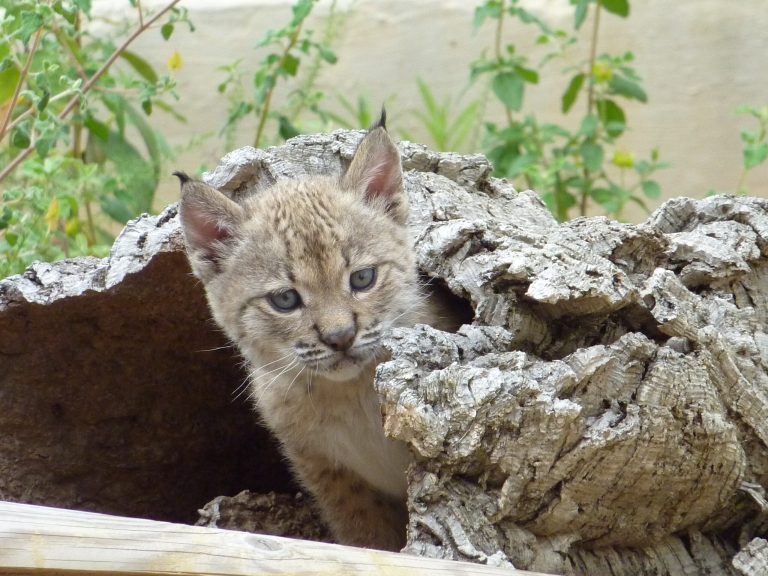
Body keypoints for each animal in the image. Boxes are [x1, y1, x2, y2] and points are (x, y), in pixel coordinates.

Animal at [176, 116, 438, 548]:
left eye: (363, 278)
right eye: (285, 300)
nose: (341, 337)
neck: (349, 395)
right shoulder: (324, 469)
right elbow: (365, 534)